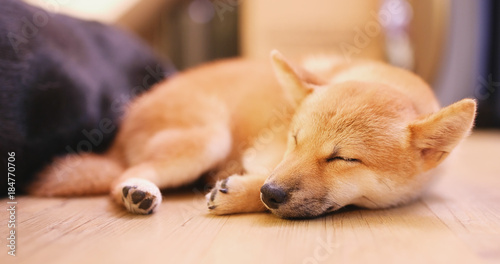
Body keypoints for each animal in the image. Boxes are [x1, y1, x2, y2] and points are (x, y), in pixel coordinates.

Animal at [30, 50, 476, 218]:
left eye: (343, 158)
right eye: (295, 139)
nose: (271, 194)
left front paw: (242, 191)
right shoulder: (265, 155)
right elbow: (262, 178)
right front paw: (241, 194)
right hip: (208, 138)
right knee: (122, 176)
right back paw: (139, 190)